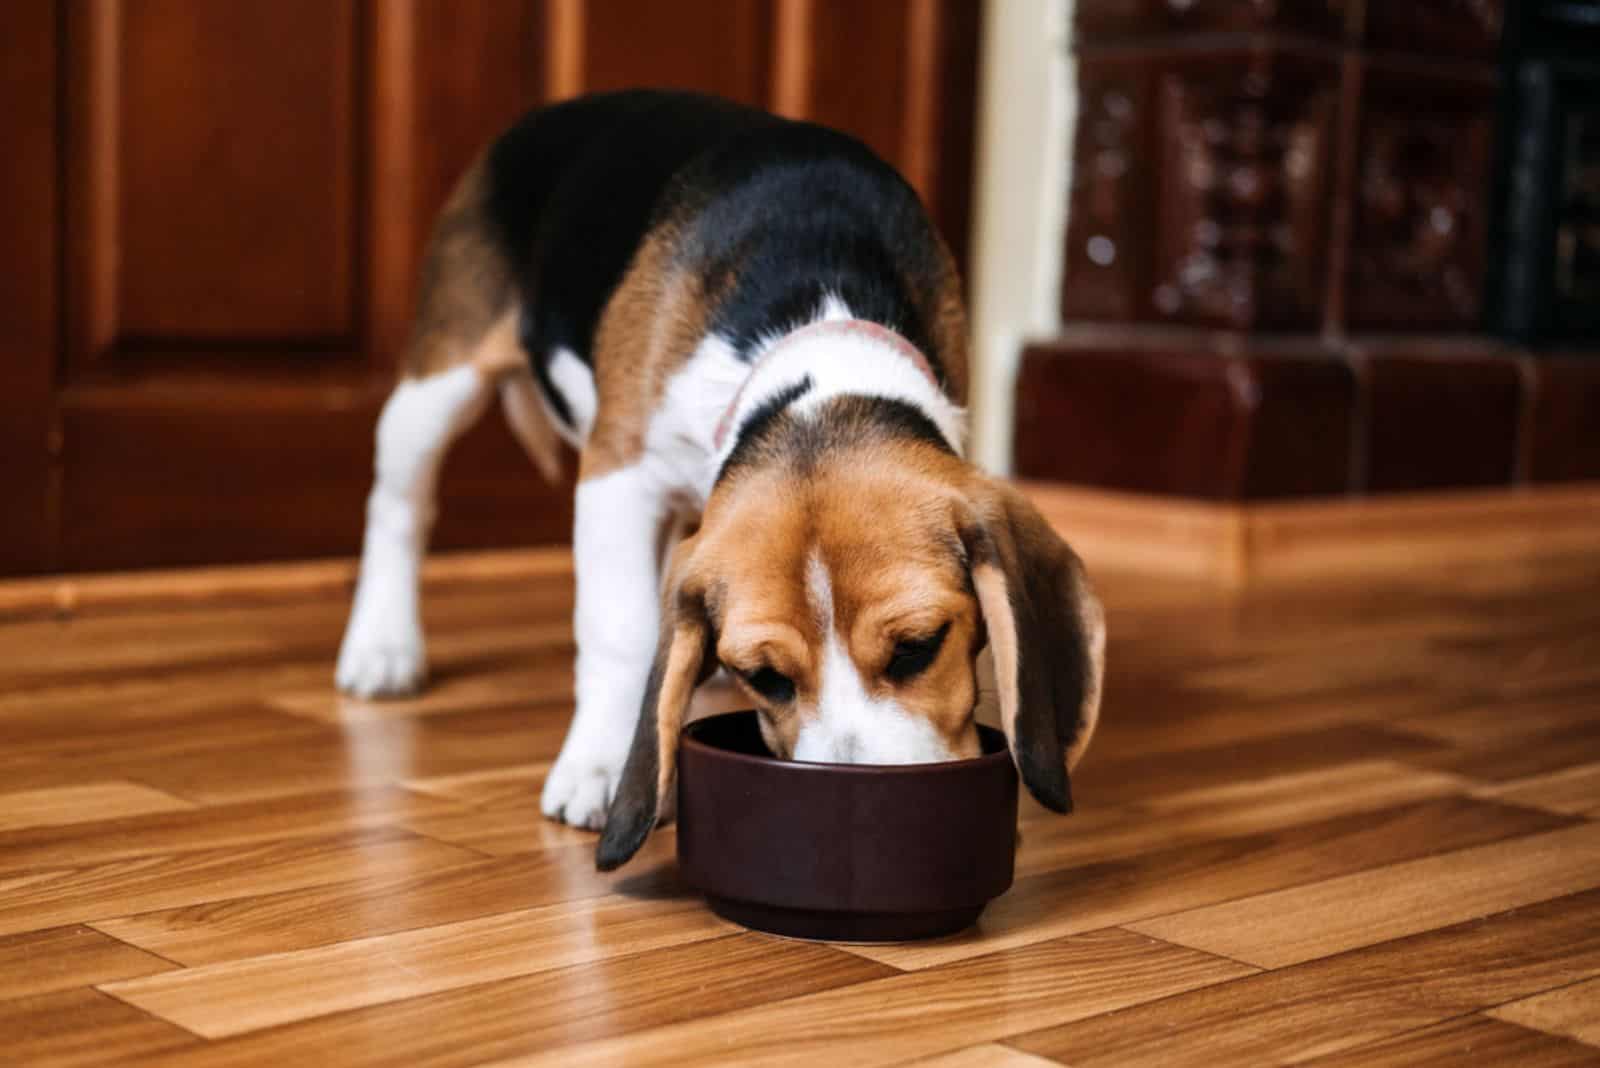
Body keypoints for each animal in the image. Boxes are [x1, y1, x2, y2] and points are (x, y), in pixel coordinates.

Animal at [339, 89, 1107, 869]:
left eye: (920, 648)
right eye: (766, 680)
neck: (816, 337)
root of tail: (556, 109)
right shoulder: (617, 473)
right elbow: (617, 629)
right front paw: (599, 765)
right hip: (438, 385)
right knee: (399, 507)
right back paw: (382, 647)